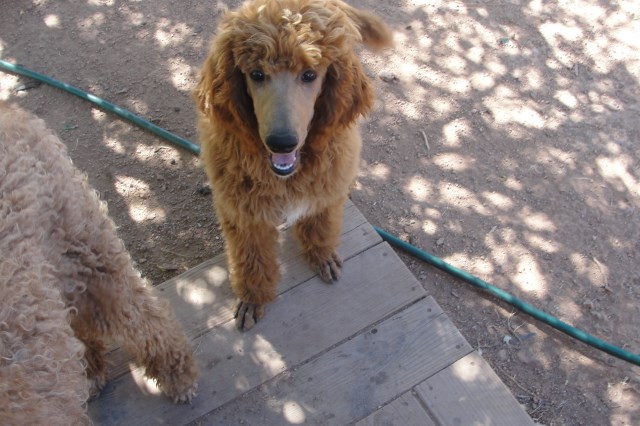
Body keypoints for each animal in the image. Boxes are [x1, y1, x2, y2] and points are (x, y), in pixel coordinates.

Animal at [192, 0, 392, 332]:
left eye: (310, 75)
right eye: (256, 74)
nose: (282, 143)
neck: (285, 177)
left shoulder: (325, 185)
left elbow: (322, 221)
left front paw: (322, 255)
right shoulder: (244, 213)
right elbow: (251, 257)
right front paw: (253, 298)